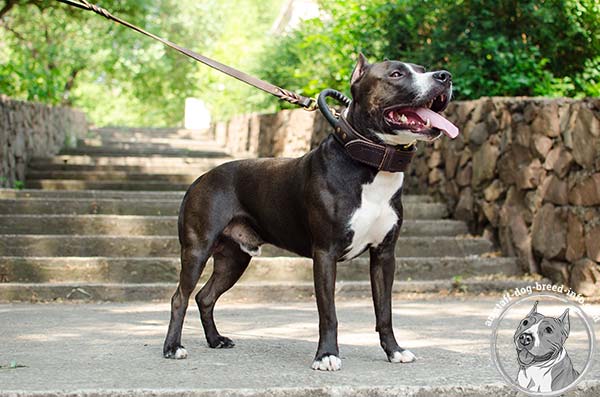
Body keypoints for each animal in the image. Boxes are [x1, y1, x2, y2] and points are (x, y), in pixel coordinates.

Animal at [162, 54, 458, 370]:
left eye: (423, 70)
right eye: (396, 74)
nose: (445, 76)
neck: (371, 164)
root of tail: (199, 179)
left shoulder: (384, 256)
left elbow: (384, 311)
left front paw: (394, 350)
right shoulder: (325, 254)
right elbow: (328, 312)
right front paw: (327, 355)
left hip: (235, 258)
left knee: (205, 296)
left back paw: (215, 339)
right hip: (197, 250)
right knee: (180, 297)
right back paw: (173, 347)